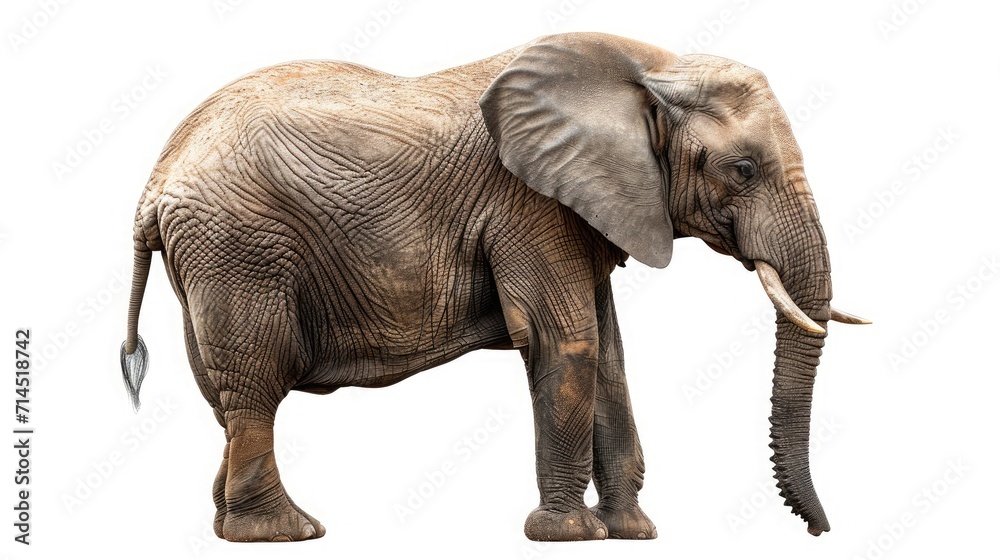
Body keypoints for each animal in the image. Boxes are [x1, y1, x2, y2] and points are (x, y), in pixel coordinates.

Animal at [119, 31, 868, 544]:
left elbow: (609, 355)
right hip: (239, 248)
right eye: (743, 169)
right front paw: (570, 536)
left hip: (212, 257)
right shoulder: (527, 205)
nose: (821, 531)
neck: (650, 68)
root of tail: (153, 186)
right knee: (256, 381)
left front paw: (632, 533)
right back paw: (286, 533)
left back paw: (228, 523)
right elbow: (567, 342)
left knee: (222, 390)